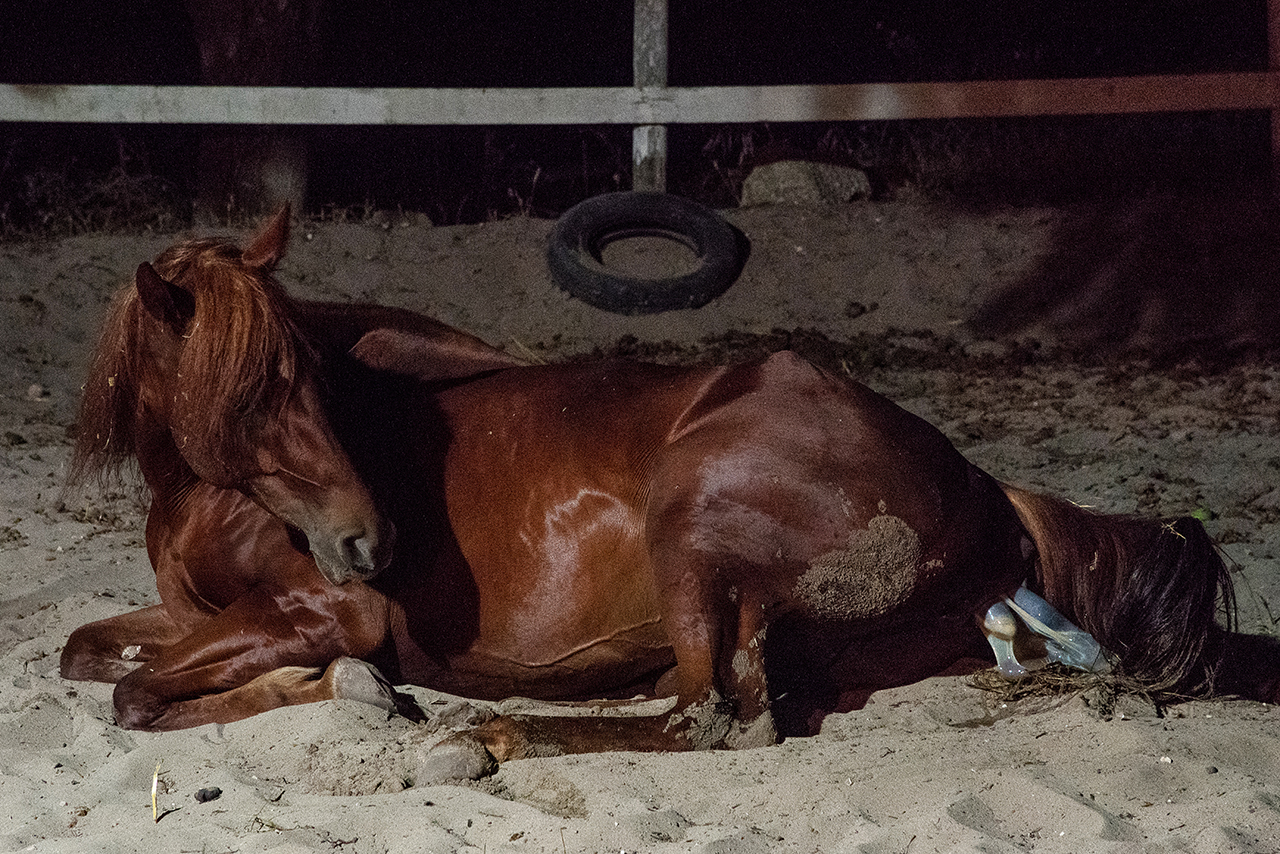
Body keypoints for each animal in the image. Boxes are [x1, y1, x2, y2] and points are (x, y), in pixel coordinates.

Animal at [62, 207, 1280, 783]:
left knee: (709, 719)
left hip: (692, 528)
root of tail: (985, 493)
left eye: (309, 380)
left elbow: (137, 694)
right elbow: (86, 652)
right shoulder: (193, 610)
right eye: (248, 396)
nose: (368, 540)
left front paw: (354, 688)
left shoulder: (321, 607)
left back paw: (481, 736)